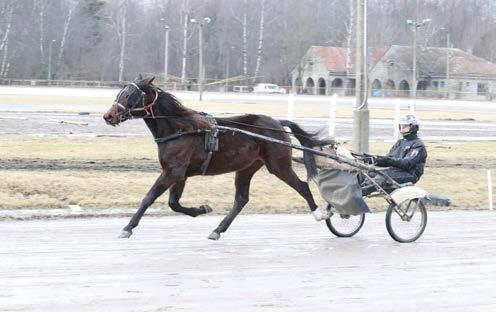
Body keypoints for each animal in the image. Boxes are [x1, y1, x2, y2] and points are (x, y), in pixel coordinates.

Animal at [103, 77, 330, 240]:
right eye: (120, 93)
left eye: (130, 95)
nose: (108, 116)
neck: (180, 128)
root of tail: (277, 123)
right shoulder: (180, 173)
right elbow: (173, 203)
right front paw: (202, 209)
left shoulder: (173, 171)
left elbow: (149, 197)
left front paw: (128, 227)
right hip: (247, 167)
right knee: (241, 199)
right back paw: (218, 229)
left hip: (278, 164)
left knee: (302, 186)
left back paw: (320, 213)